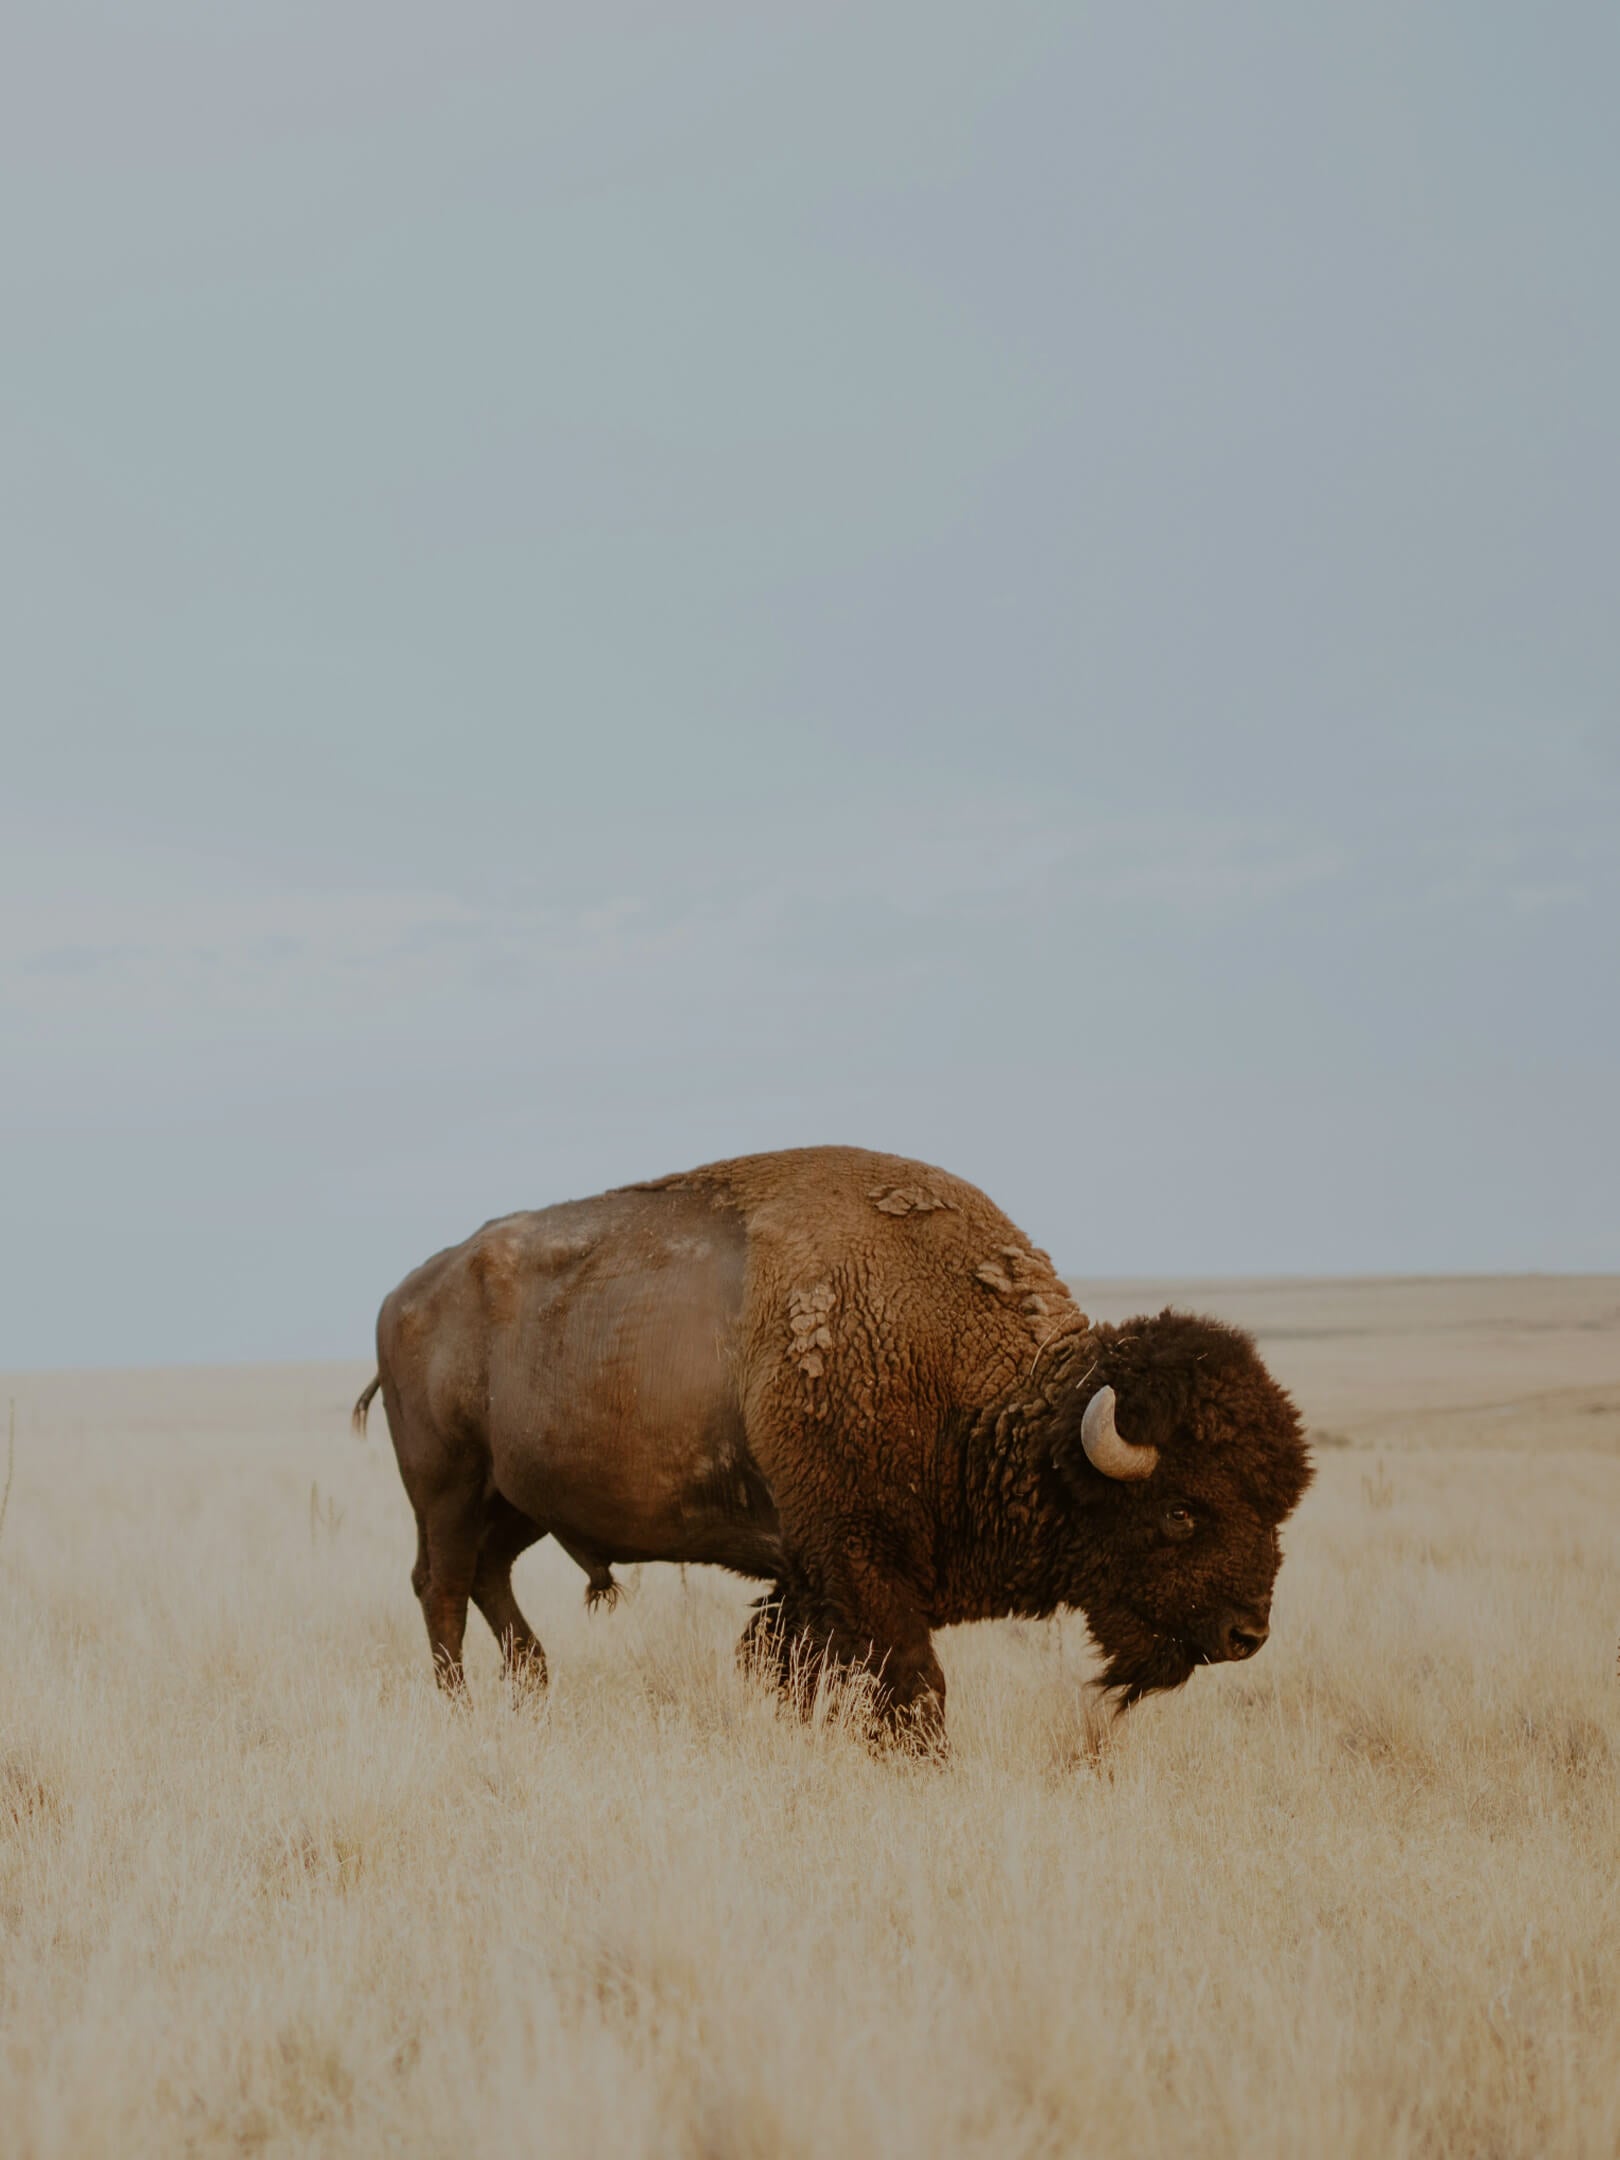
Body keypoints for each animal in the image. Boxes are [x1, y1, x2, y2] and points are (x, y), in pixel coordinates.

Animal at [355, 1146, 1311, 1742]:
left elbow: (795, 1668)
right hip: (447, 1486)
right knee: (441, 1588)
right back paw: (463, 1709)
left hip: (518, 1501)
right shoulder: (858, 1563)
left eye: (1279, 1506)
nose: (1247, 1633)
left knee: (488, 1579)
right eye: (1181, 1510)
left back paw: (534, 1687)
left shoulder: (811, 1580)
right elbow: (912, 1686)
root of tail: (404, 1295)